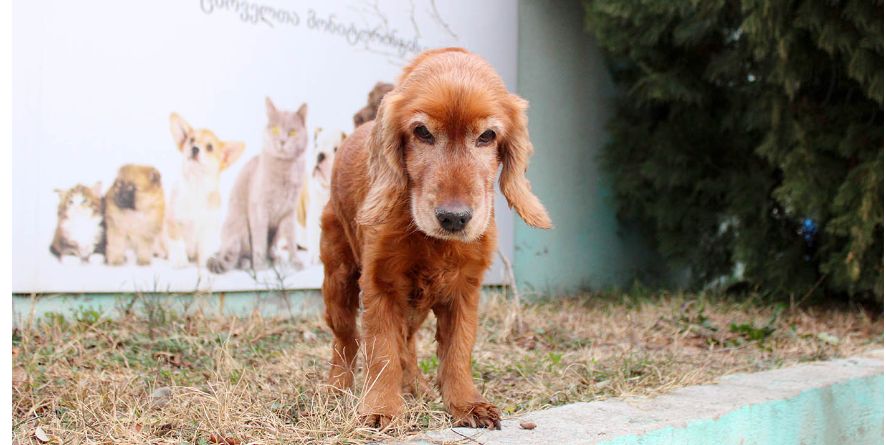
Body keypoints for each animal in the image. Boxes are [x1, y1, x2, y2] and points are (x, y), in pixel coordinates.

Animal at [167, 113, 245, 268]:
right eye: (191, 140)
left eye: (209, 147)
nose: (195, 148)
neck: (196, 186)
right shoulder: (174, 221)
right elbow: (178, 243)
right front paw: (179, 261)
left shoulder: (208, 228)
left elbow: (205, 247)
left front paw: (206, 262)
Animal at [208, 97, 308, 272]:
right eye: (275, 130)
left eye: (292, 132)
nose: (282, 141)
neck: (284, 170)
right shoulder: (259, 209)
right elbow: (260, 241)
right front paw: (260, 268)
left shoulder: (289, 212)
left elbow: (291, 240)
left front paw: (295, 262)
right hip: (238, 227)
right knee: (239, 255)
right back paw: (248, 263)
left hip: (275, 232)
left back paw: (274, 259)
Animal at [320, 46, 556, 428]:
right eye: (422, 132)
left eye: (487, 136)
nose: (454, 218)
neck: (432, 240)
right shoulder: (380, 284)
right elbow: (382, 349)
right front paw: (381, 408)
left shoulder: (465, 290)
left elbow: (457, 350)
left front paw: (467, 404)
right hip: (338, 277)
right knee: (345, 339)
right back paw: (336, 388)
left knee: (408, 342)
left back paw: (416, 385)